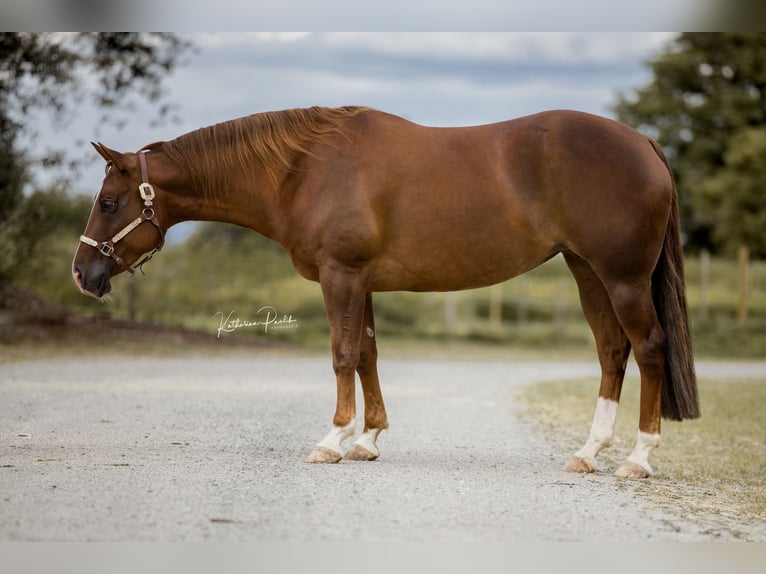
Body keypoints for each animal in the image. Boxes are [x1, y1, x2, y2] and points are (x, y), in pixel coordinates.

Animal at [72, 106, 700, 478]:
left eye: (109, 202)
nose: (82, 274)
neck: (301, 171)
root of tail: (644, 142)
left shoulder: (341, 275)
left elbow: (342, 354)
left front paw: (332, 438)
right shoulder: (361, 281)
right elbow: (368, 352)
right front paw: (368, 439)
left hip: (621, 278)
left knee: (649, 348)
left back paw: (638, 459)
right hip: (587, 271)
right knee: (612, 351)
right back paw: (588, 454)